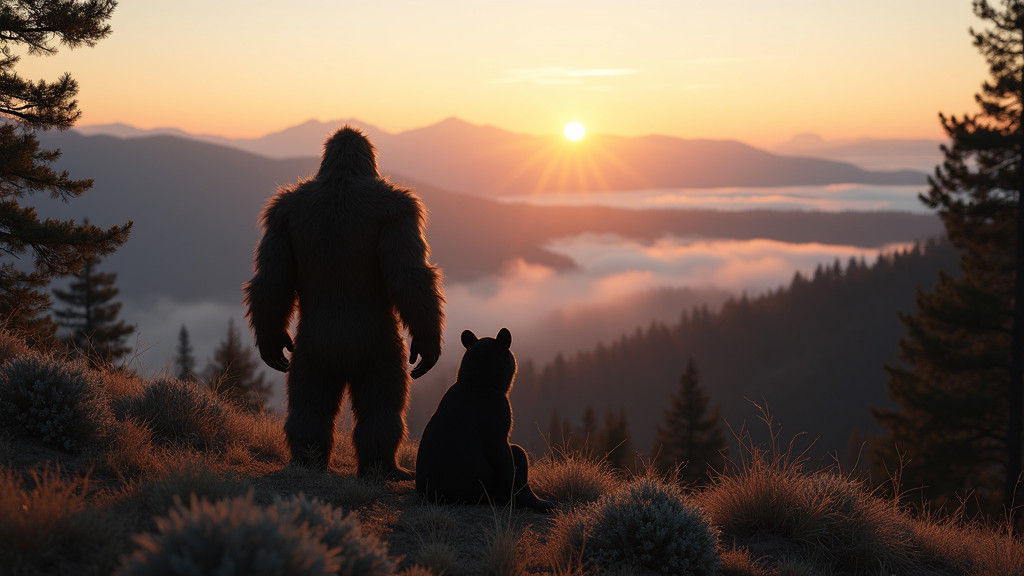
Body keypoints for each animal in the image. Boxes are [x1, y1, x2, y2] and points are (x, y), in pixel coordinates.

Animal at [244, 127, 445, 479]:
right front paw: (428, 343)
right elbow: (410, 277)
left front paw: (270, 342)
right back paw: (383, 468)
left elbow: (271, 279)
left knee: (309, 408)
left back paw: (307, 460)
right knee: (383, 407)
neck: (342, 179)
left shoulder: (278, 218)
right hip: (381, 353)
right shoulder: (401, 211)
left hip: (310, 356)